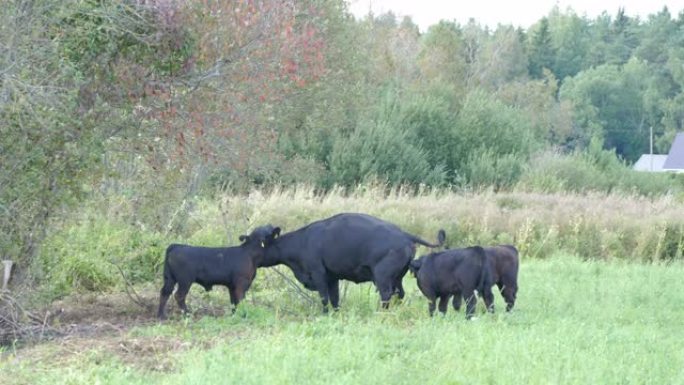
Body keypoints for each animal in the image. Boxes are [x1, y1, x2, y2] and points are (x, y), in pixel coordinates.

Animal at [260, 212, 446, 310]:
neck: (303, 241)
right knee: (399, 294)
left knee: (386, 295)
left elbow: (324, 299)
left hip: (382, 277)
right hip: (397, 278)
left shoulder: (318, 275)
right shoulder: (332, 278)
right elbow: (334, 299)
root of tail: (404, 234)